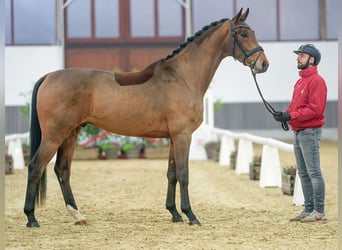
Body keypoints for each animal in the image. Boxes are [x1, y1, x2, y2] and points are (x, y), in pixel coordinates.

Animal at [24, 8, 270, 227]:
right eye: (244, 34)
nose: (264, 64)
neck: (182, 77)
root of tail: (49, 76)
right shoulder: (183, 136)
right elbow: (184, 174)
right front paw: (191, 215)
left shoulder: (173, 138)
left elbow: (171, 173)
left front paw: (174, 213)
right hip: (55, 135)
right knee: (36, 166)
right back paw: (31, 218)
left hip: (70, 134)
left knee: (62, 170)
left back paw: (78, 216)